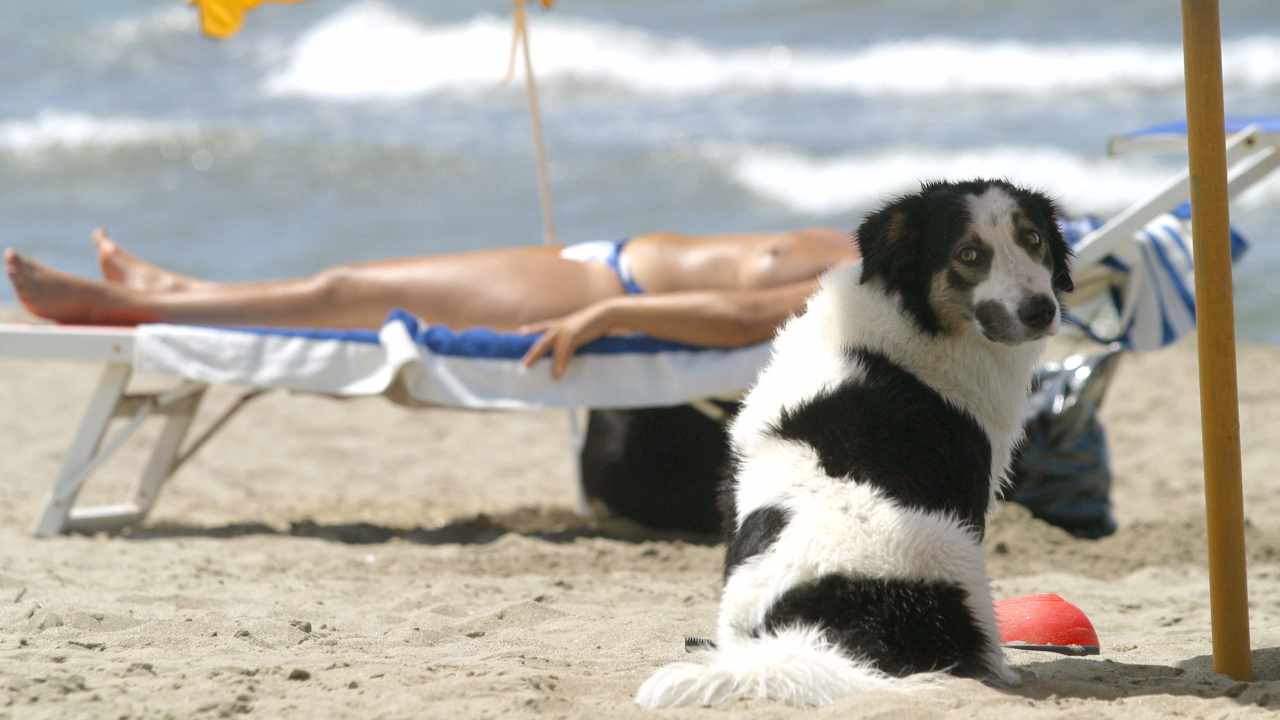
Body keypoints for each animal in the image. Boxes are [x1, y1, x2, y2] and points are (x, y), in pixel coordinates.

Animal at [637, 179, 1070, 707]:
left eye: (1033, 239)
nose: (1040, 310)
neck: (913, 314)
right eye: (969, 254)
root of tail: (807, 631)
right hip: (957, 561)